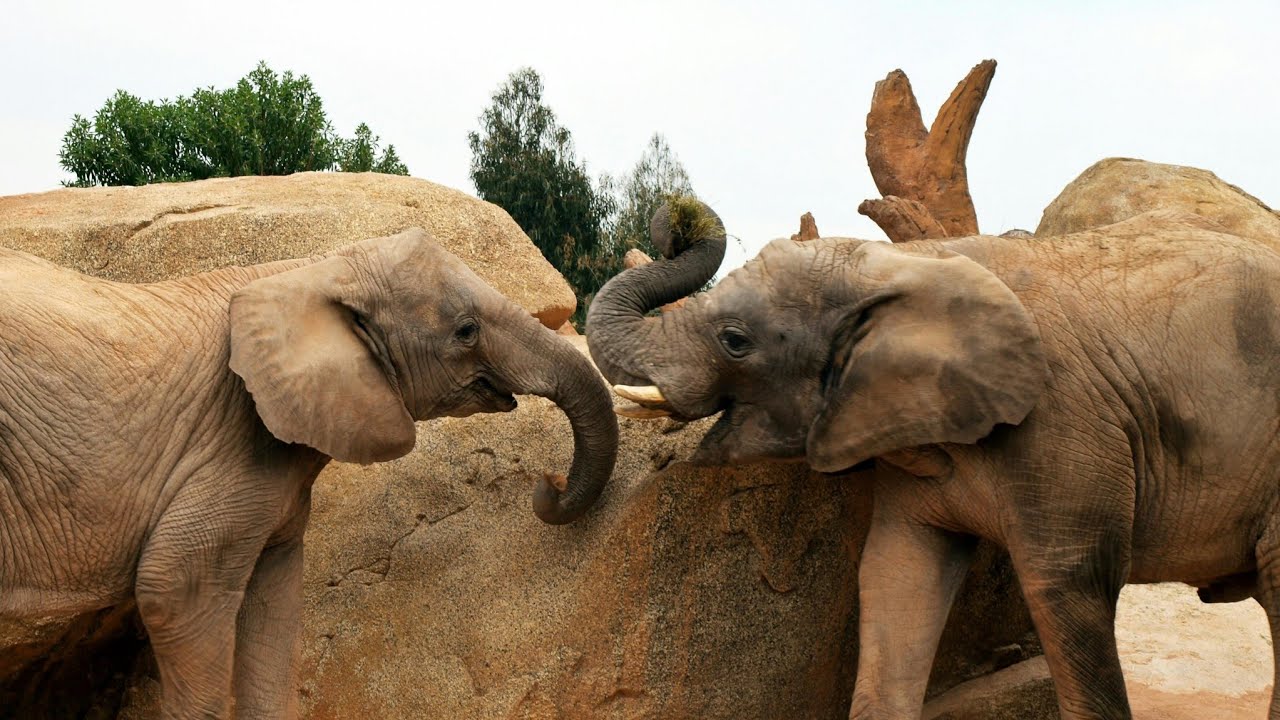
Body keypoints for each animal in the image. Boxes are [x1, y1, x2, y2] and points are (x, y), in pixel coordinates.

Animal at [0, 227, 618, 719]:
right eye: (466, 331)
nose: (549, 484)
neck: (313, 270)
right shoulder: (231, 439)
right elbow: (175, 589)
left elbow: (275, 605)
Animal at [585, 198, 1280, 720]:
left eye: (734, 341)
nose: (673, 219)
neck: (914, 262)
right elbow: (896, 573)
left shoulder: (1065, 424)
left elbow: (1067, 585)